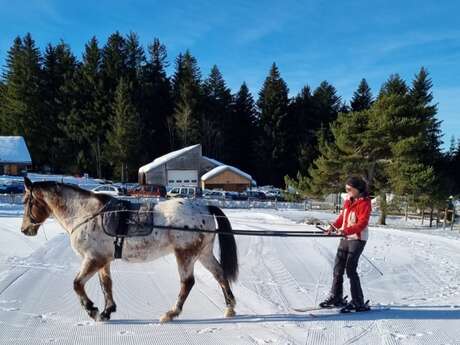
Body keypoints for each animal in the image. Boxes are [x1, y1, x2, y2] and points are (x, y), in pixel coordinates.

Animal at [20, 176, 239, 322]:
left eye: (26, 202)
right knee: (219, 274)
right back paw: (230, 309)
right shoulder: (103, 260)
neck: (86, 214)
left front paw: (92, 309)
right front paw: (107, 311)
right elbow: (106, 285)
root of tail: (205, 207)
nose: (24, 230)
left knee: (187, 282)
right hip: (203, 253)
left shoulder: (93, 259)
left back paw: (171, 313)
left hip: (185, 254)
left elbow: (77, 284)